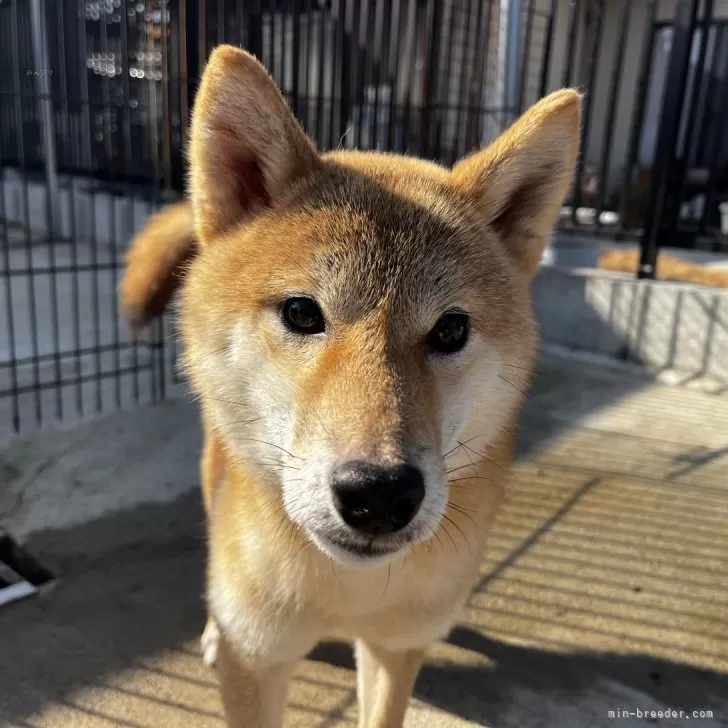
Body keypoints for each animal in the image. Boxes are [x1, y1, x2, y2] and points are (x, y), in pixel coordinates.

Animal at [119, 45, 580, 728]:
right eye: (302, 313)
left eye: (450, 329)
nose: (380, 493)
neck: (345, 593)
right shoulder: (256, 659)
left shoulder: (395, 649)